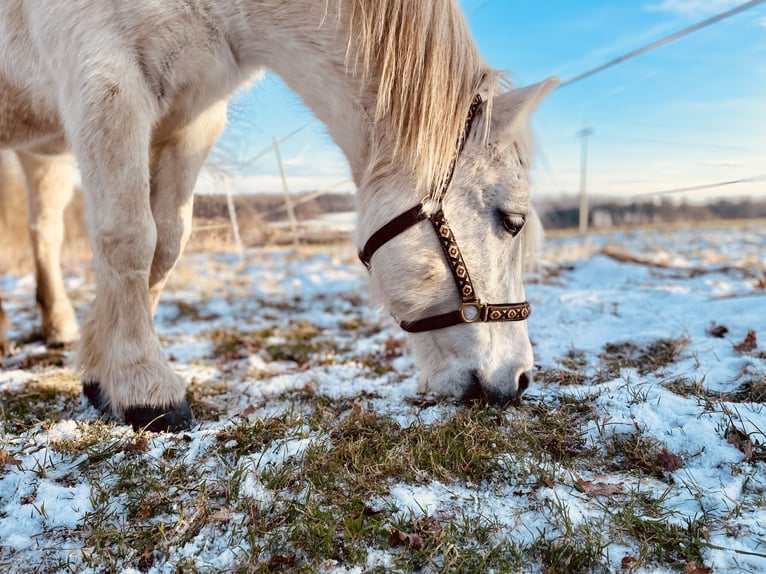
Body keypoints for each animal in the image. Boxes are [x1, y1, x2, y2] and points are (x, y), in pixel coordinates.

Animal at [1, 0, 560, 432]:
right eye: (511, 220)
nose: (520, 379)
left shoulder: (191, 119)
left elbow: (166, 245)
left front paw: (100, 372)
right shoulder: (106, 82)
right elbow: (130, 238)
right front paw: (144, 386)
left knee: (44, 231)